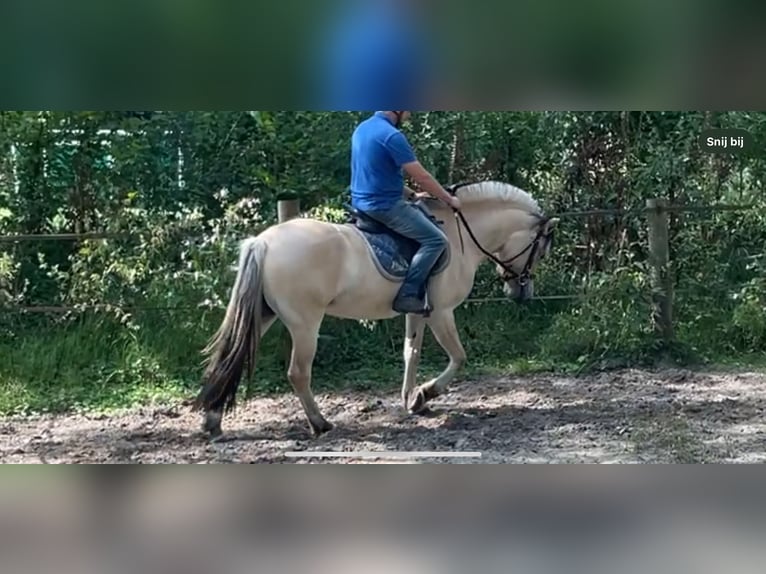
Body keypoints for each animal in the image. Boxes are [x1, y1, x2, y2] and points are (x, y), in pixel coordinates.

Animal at [192, 182, 560, 438]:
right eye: (540, 248)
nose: (521, 292)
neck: (460, 238)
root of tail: (264, 241)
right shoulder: (442, 312)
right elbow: (458, 357)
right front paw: (426, 393)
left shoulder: (418, 312)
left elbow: (411, 353)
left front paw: (411, 400)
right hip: (304, 324)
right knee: (298, 373)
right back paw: (320, 424)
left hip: (264, 314)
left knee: (228, 359)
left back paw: (212, 422)